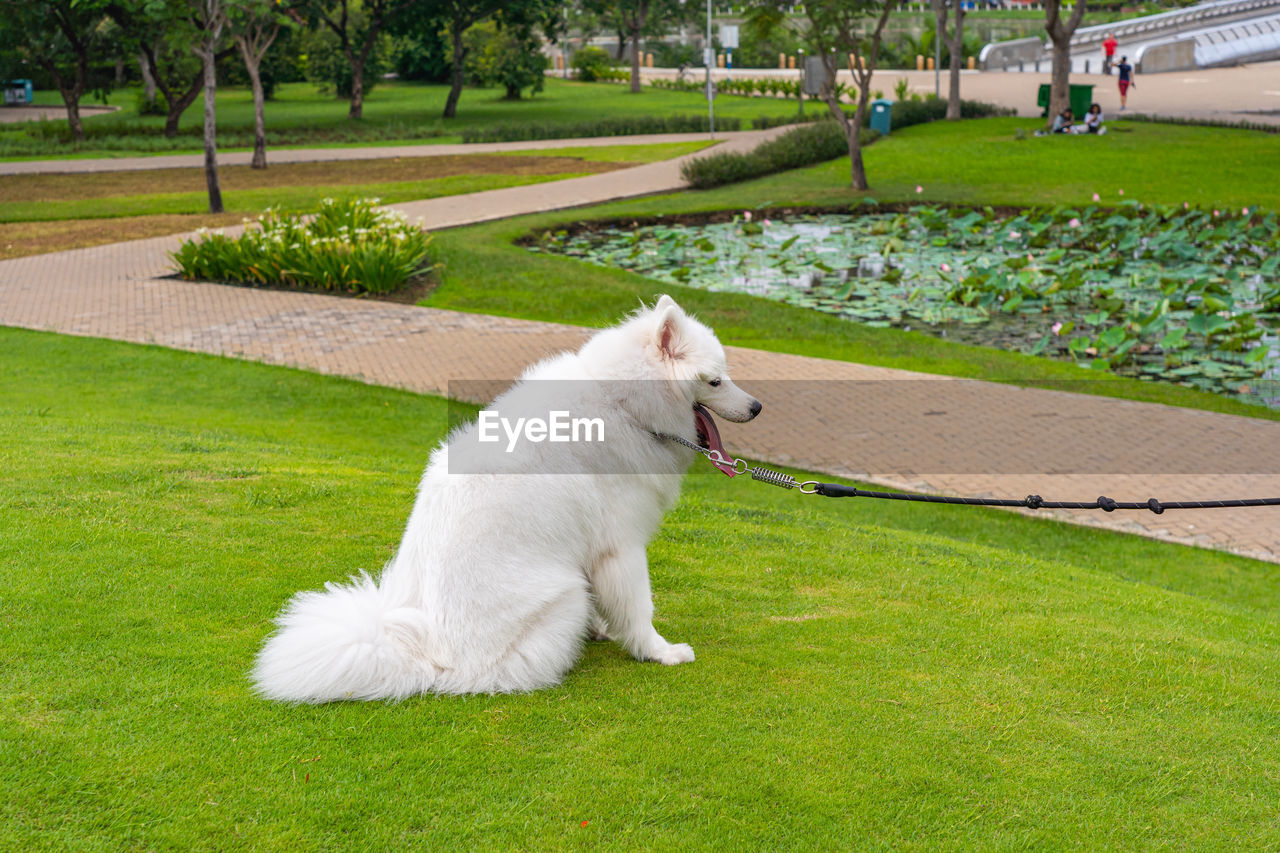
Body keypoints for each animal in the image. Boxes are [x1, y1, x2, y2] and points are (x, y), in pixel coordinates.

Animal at [254, 292, 762, 696]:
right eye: (716, 380)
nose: (758, 406)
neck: (622, 404)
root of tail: (432, 654)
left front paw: (605, 629)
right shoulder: (620, 547)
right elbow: (639, 609)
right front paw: (659, 651)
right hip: (566, 593)